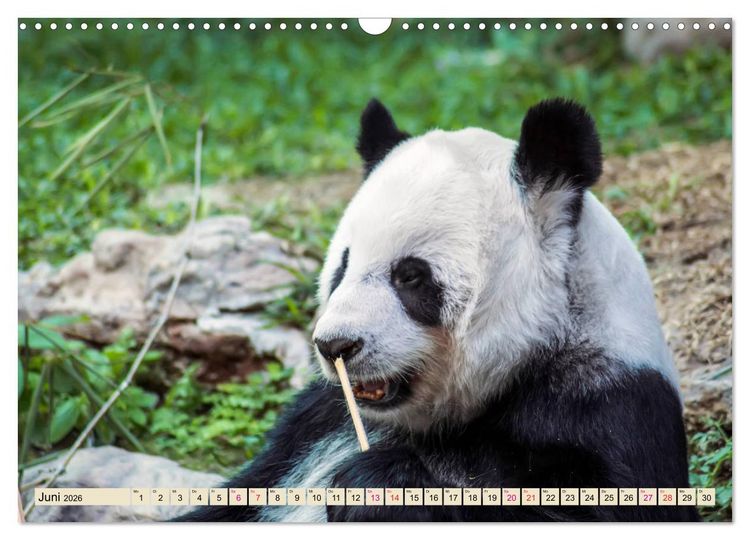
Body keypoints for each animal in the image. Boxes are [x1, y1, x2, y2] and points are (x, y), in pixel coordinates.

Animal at [177, 98, 698, 522]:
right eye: (342, 266)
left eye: (410, 276)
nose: (335, 345)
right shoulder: (315, 425)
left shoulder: (609, 404)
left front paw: (375, 486)